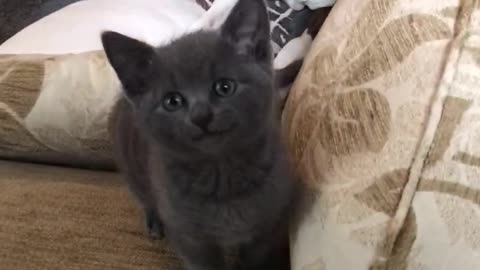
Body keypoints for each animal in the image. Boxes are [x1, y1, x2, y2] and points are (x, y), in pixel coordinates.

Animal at [101, 1, 298, 268]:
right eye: (172, 101)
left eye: (224, 87)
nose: (201, 115)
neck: (223, 175)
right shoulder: (191, 239)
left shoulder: (268, 227)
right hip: (129, 163)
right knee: (144, 195)